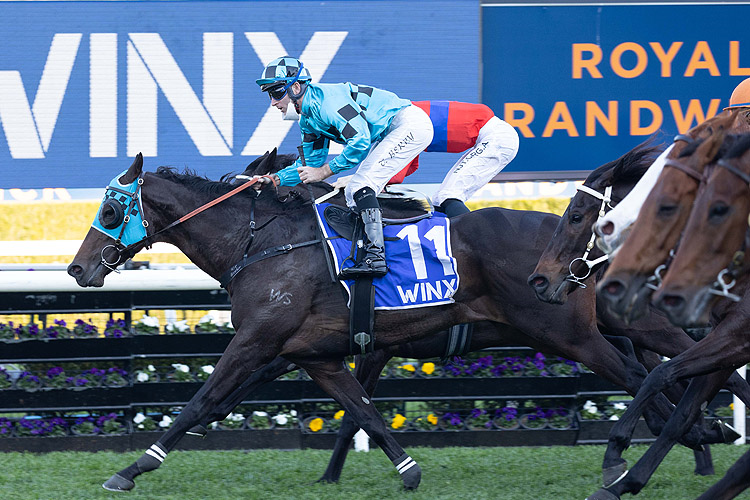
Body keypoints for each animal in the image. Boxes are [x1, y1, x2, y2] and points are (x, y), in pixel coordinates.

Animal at [67, 149, 732, 492]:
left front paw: (132, 468)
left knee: (645, 372)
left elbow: (202, 401)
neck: (263, 242)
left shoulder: (259, 340)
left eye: (110, 209)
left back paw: (678, 441)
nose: (77, 268)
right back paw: (698, 435)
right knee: (664, 368)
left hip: (569, 332)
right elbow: (358, 407)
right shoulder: (314, 353)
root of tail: (576, 244)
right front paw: (405, 470)